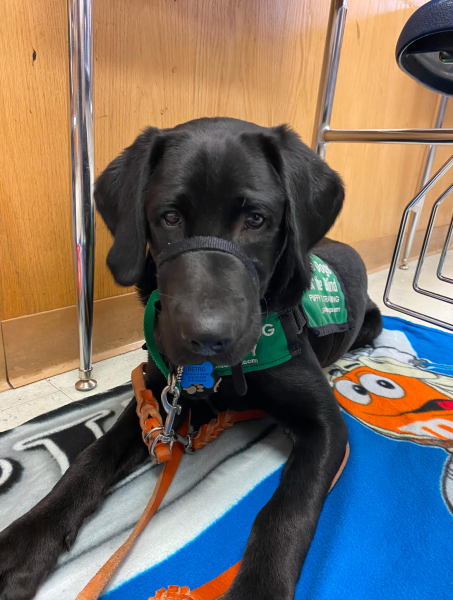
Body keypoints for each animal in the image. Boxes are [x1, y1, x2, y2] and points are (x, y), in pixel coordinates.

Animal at [0, 117, 382, 600]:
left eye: (256, 219)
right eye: (170, 217)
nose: (205, 338)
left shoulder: (327, 425)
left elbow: (286, 509)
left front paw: (258, 588)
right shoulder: (155, 396)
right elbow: (91, 457)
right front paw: (25, 541)